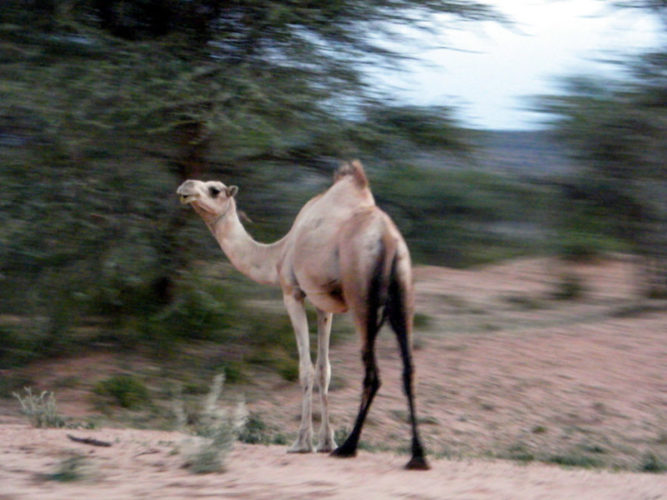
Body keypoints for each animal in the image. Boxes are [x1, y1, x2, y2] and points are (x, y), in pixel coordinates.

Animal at [177, 159, 428, 468]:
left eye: (215, 189)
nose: (185, 186)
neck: (276, 254)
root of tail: (389, 241)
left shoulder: (292, 293)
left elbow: (306, 369)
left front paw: (302, 443)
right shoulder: (323, 305)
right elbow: (324, 370)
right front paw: (326, 441)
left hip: (362, 296)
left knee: (373, 371)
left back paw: (349, 446)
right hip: (404, 293)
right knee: (409, 369)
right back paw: (417, 455)